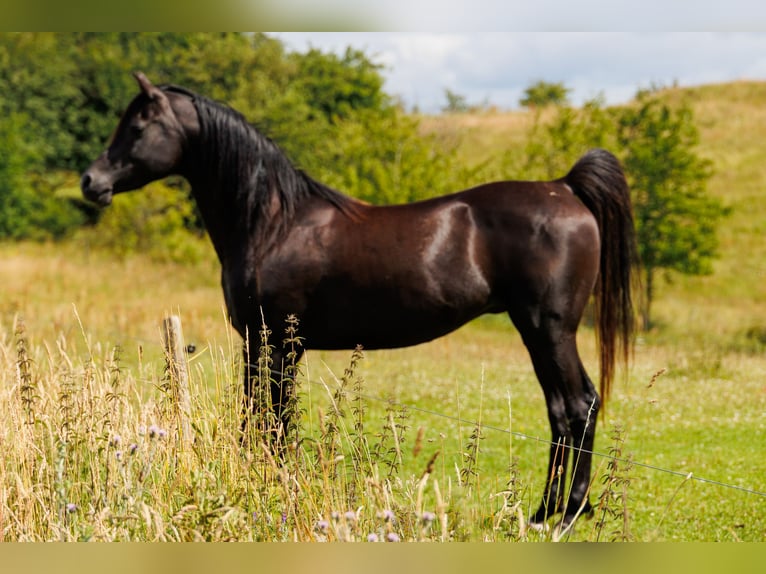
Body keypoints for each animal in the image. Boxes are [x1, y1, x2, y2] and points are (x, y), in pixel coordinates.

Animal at [81, 72, 637, 530]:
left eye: (138, 126)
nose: (91, 181)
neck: (274, 222)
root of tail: (564, 188)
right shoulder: (261, 343)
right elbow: (257, 418)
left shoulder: (278, 344)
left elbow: (273, 421)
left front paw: (273, 489)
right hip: (541, 333)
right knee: (562, 410)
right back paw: (546, 512)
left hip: (549, 328)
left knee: (577, 405)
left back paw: (565, 516)